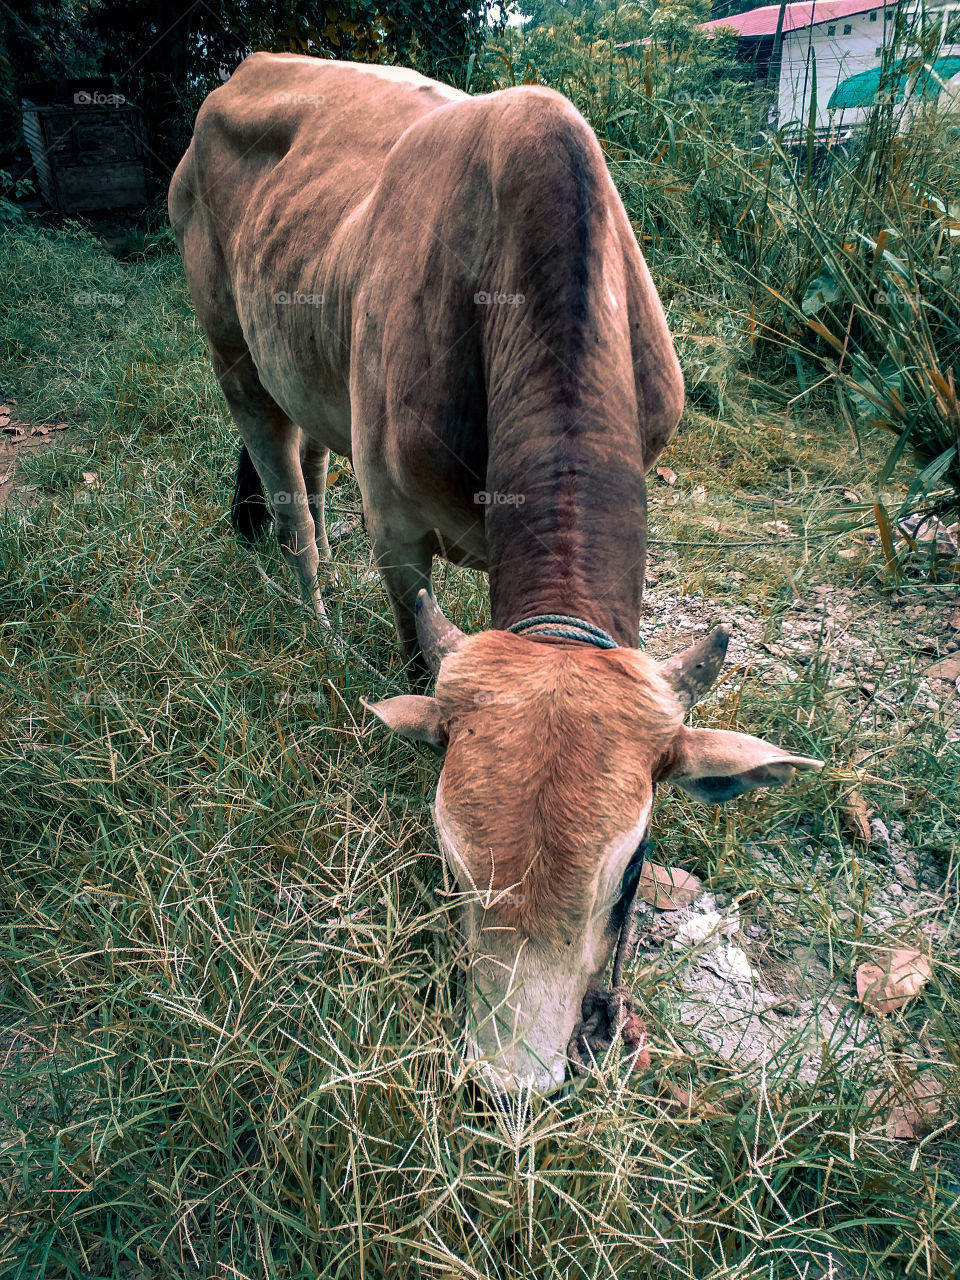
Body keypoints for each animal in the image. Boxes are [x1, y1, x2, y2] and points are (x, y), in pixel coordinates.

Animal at [168, 57, 824, 1090]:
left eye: (632, 864)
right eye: (446, 853)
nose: (509, 1082)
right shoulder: (395, 527)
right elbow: (410, 649)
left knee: (303, 465)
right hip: (230, 350)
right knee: (291, 507)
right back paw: (313, 616)